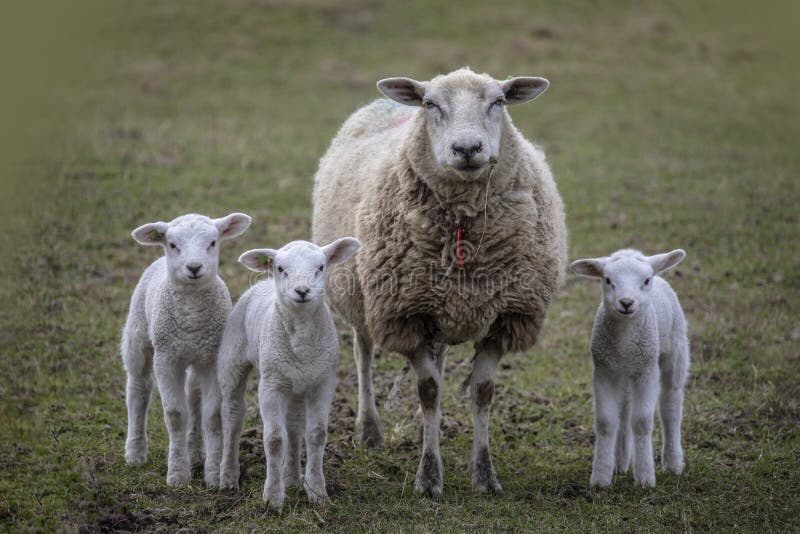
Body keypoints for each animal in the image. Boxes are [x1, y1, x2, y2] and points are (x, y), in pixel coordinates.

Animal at [122, 212, 251, 486]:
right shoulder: (167, 359)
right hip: (139, 334)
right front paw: (178, 474)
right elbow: (175, 416)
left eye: (213, 242)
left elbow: (212, 417)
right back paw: (135, 452)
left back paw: (196, 451)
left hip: (195, 357)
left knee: (194, 396)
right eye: (173, 244)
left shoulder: (212, 359)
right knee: (138, 388)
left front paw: (212, 475)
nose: (193, 267)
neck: (192, 315)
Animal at [217, 238, 361, 509]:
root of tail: (261, 284)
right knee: (232, 416)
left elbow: (316, 434)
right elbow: (274, 440)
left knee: (294, 426)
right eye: (281, 268)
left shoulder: (323, 383)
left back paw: (293, 479)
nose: (302, 291)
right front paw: (273, 498)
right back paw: (228, 477)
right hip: (232, 362)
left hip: (296, 383)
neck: (301, 337)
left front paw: (317, 492)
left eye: (321, 267)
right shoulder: (271, 385)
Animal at [312, 67, 567, 496]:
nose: (467, 148)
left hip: (442, 305)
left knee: (441, 357)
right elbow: (428, 390)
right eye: (431, 104)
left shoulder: (505, 316)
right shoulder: (406, 315)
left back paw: (420, 428)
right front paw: (429, 477)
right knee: (364, 354)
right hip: (363, 298)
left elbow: (482, 392)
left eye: (499, 101)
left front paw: (484, 476)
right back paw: (369, 429)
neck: (462, 223)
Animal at [570, 248, 690, 488]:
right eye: (607, 280)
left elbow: (642, 421)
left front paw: (645, 478)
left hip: (674, 351)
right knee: (624, 411)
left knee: (670, 405)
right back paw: (620, 462)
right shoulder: (604, 371)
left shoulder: (646, 371)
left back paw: (673, 463)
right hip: (623, 374)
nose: (626, 302)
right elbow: (606, 422)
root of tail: (660, 274)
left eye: (645, 281)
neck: (625, 339)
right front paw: (600, 478)